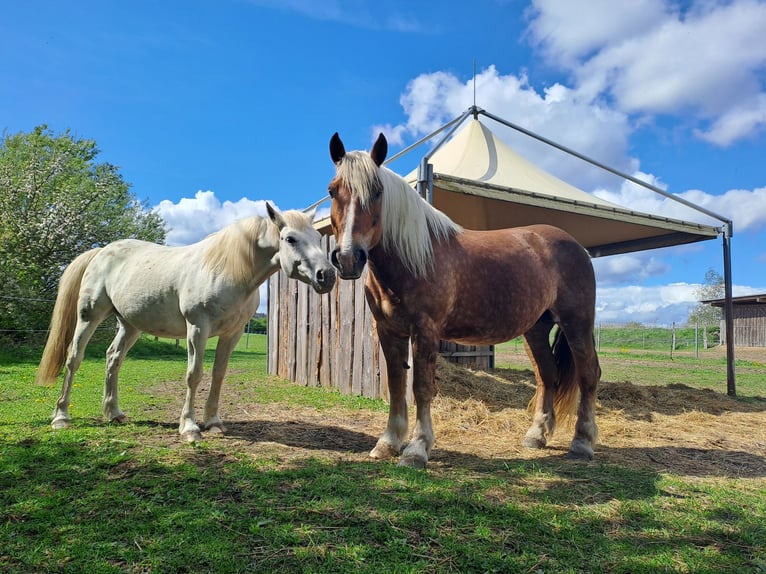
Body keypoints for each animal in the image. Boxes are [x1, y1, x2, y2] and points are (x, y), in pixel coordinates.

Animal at [36, 203, 336, 442]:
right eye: (290, 238)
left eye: (317, 237)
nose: (327, 276)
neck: (228, 269)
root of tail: (100, 252)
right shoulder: (198, 328)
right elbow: (195, 374)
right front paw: (190, 428)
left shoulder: (232, 334)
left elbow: (218, 374)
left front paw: (213, 423)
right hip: (89, 316)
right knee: (74, 358)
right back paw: (61, 417)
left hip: (130, 325)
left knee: (113, 359)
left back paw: (114, 413)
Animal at [327, 132, 601, 468]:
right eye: (332, 191)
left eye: (377, 192)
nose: (348, 258)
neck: (414, 259)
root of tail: (577, 246)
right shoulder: (389, 331)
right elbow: (395, 385)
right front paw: (388, 443)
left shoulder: (425, 331)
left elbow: (421, 387)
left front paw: (417, 448)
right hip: (536, 328)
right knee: (547, 375)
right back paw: (536, 436)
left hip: (577, 322)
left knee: (589, 374)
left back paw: (582, 443)